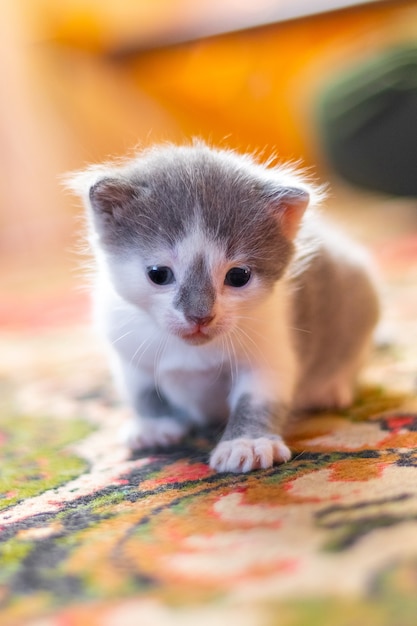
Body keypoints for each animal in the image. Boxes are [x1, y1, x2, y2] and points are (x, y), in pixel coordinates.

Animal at [68, 141, 380, 470]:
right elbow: (141, 389)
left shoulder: (272, 349)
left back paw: (332, 387)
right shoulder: (126, 347)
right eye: (158, 274)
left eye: (239, 276)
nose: (199, 316)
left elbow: (257, 398)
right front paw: (154, 425)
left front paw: (247, 443)